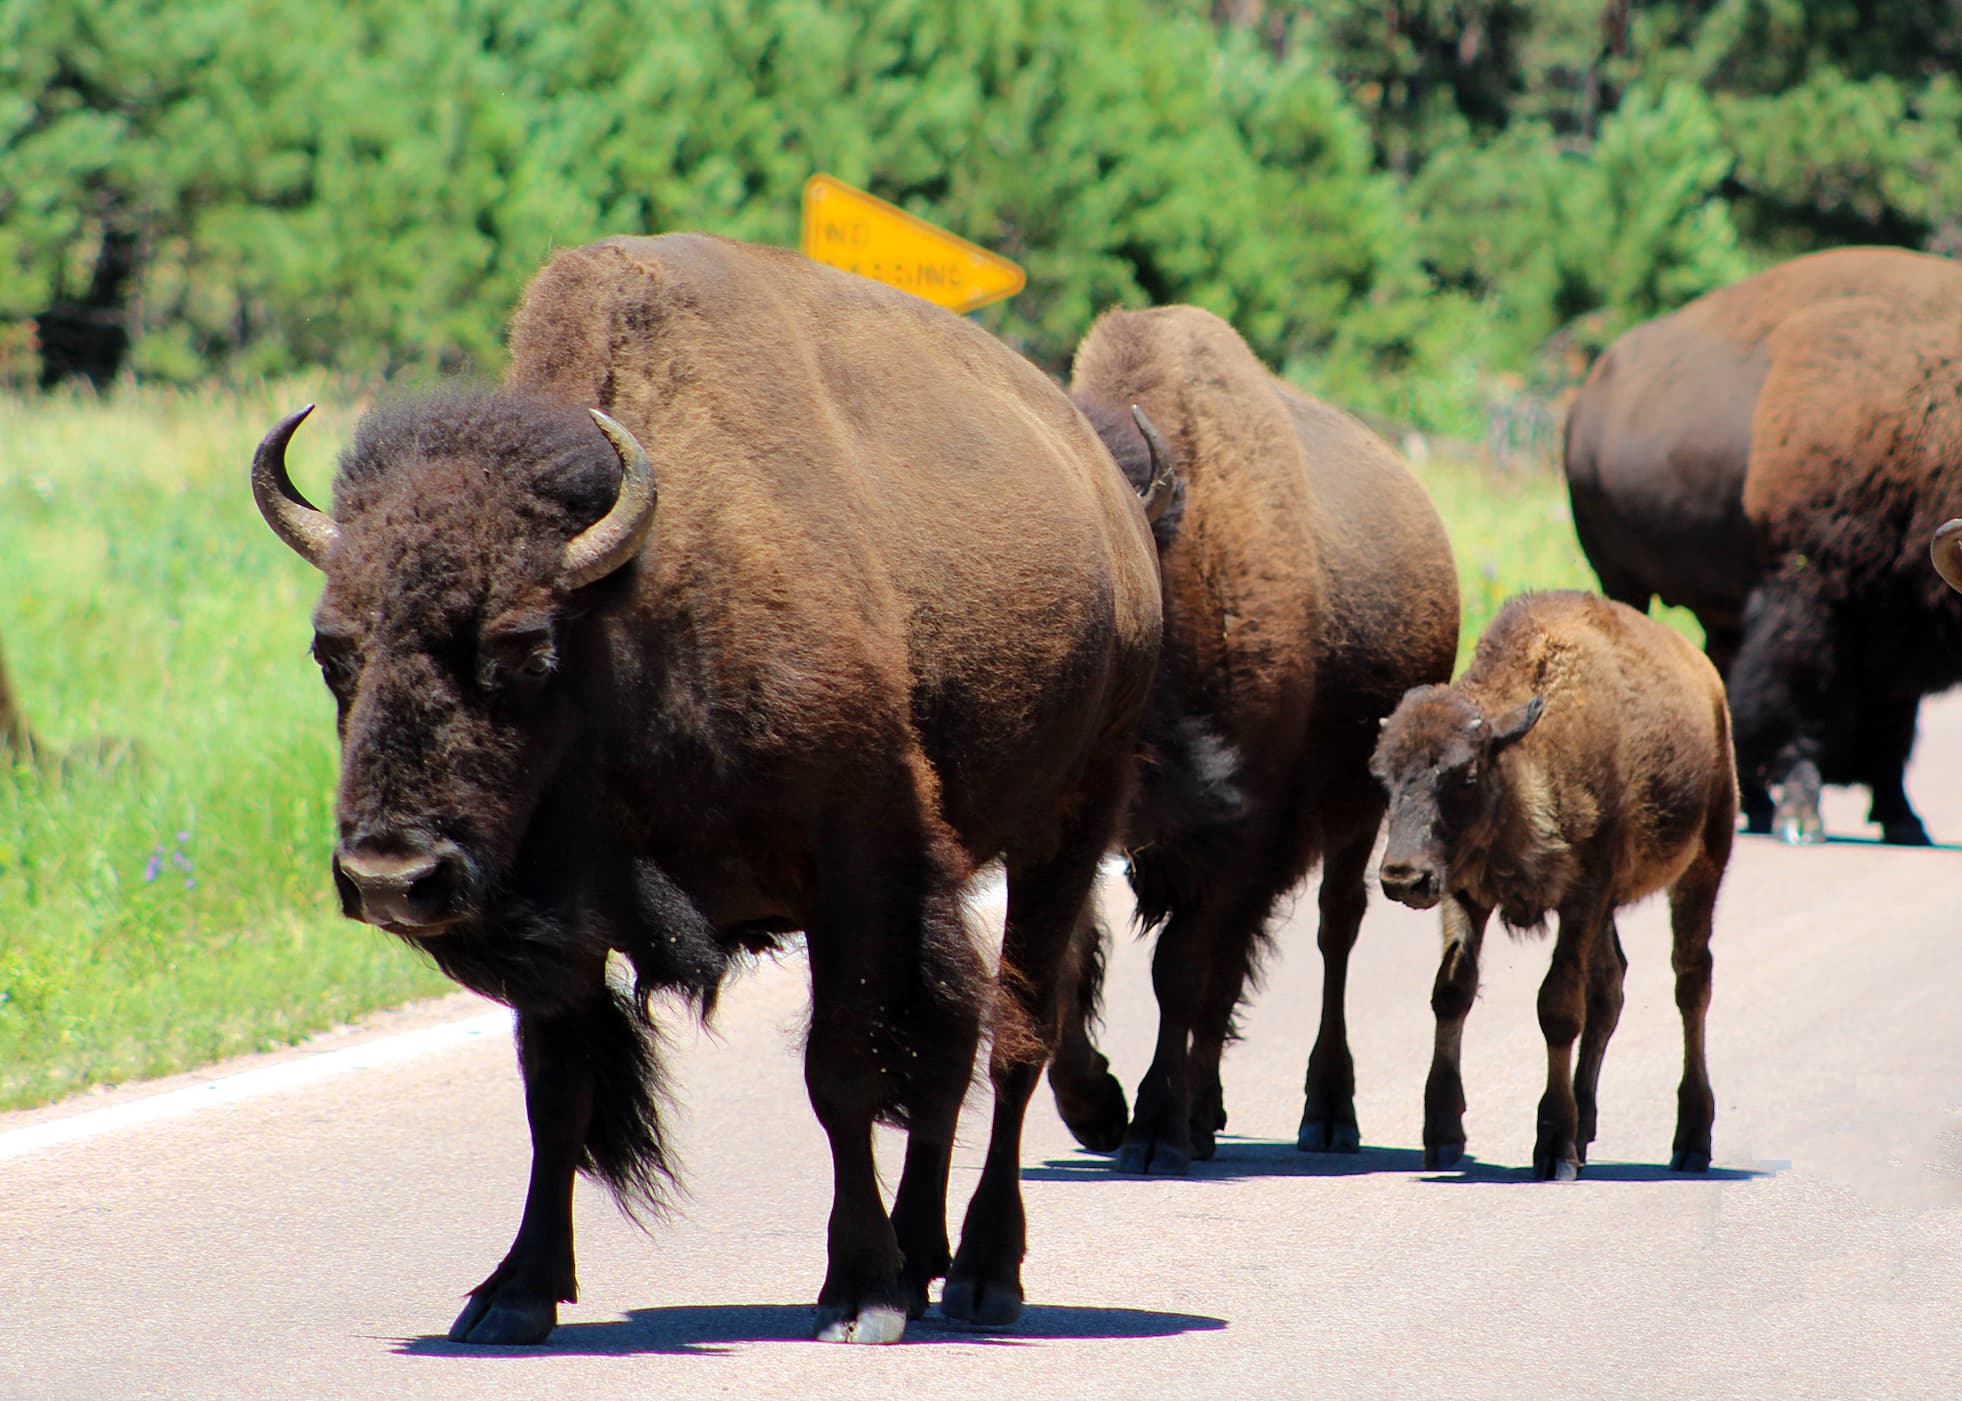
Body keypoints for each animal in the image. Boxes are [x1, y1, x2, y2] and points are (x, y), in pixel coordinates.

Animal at [247, 231, 1161, 1342]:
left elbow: (841, 1074)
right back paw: (926, 1258)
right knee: (952, 1045)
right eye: (332, 649)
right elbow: (557, 1092)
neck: (635, 614)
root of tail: (1110, 495)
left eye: (522, 643)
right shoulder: (572, 906)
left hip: (1067, 827)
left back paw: (984, 1276)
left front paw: (858, 1295)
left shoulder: (856, 872)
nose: (391, 876)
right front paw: (512, 1295)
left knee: (1015, 1039)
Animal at [1043, 302, 1459, 1169]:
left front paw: (1151, 1132)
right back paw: (1205, 1114)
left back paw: (1325, 1115)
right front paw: (1099, 1108)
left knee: (1334, 932)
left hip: (1355, 814)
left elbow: (1179, 972)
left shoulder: (1233, 832)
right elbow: (1072, 951)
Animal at [1365, 588, 1734, 1177]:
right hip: (1613, 907)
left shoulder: (1582, 897)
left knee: (1691, 982)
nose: (1403, 876)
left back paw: (1691, 1140)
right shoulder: (1466, 894)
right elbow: (1452, 991)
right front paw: (1443, 1134)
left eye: (1466, 776)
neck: (1527, 759)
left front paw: (1553, 1146)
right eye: (1382, 776)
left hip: (1704, 863)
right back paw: (1587, 1123)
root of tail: (1709, 682)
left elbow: (1559, 1007)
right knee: (1611, 985)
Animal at [1561, 243, 1962, 839]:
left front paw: (1903, 820)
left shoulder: (1898, 616)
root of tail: (1587, 394)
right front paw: (1803, 816)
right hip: (1620, 578)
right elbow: (1799, 694)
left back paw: (1754, 806)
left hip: (1719, 611)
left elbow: (1893, 726)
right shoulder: (1808, 589)